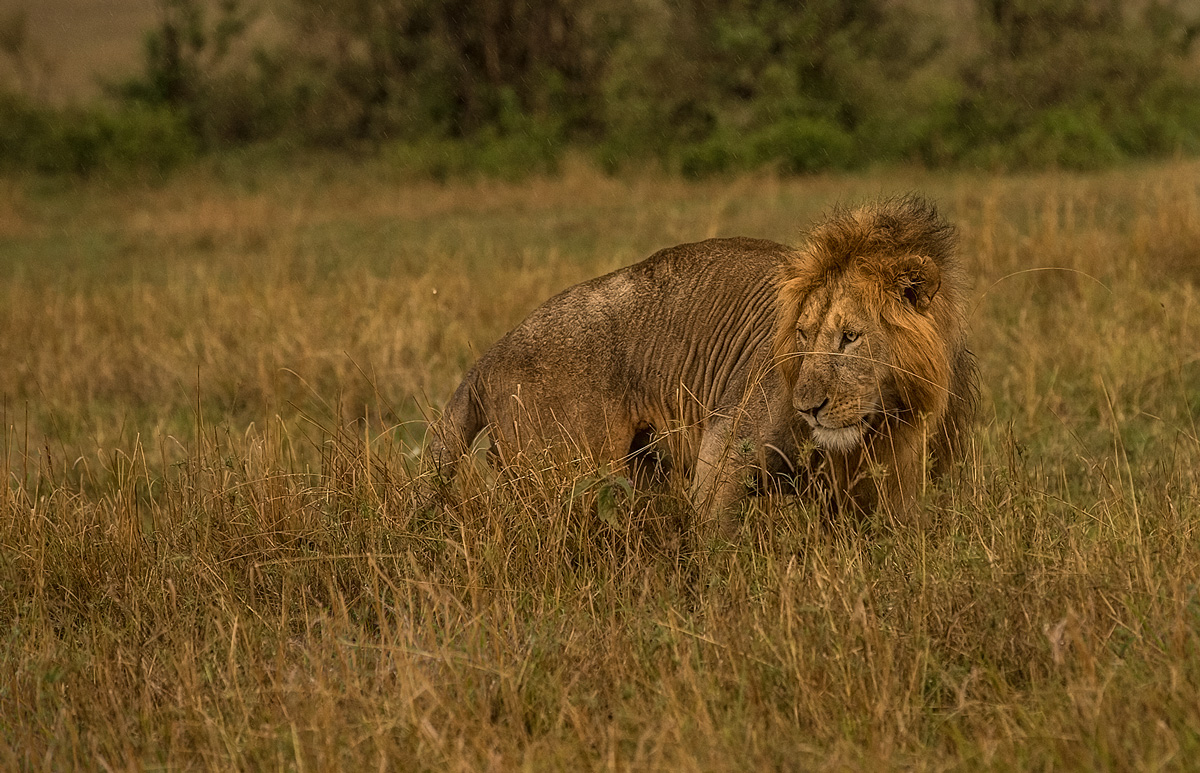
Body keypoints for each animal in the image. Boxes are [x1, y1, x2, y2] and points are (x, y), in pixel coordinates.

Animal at [432, 194, 974, 518]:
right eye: (801, 334)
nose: (808, 408)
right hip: (568, 470)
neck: (885, 421)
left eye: (850, 337)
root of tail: (488, 357)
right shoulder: (727, 446)